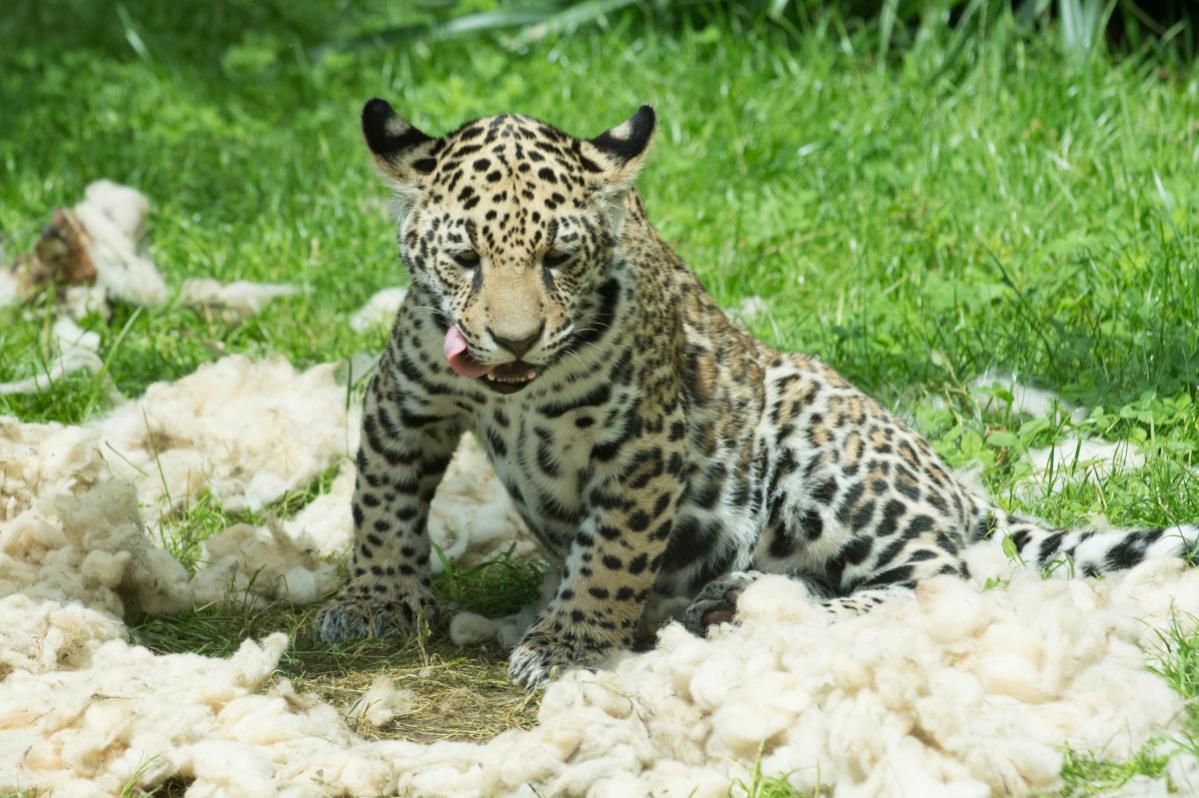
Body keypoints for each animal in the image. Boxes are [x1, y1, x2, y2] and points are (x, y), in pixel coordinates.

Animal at [315, 97, 1199, 689]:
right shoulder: (407, 401)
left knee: (939, 576)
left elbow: (609, 556)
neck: (516, 391)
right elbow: (383, 509)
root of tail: (956, 485)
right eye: (464, 259)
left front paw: (568, 643)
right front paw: (373, 603)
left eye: (557, 259)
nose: (515, 338)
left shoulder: (643, 444)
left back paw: (770, 616)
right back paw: (731, 599)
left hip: (822, 455)